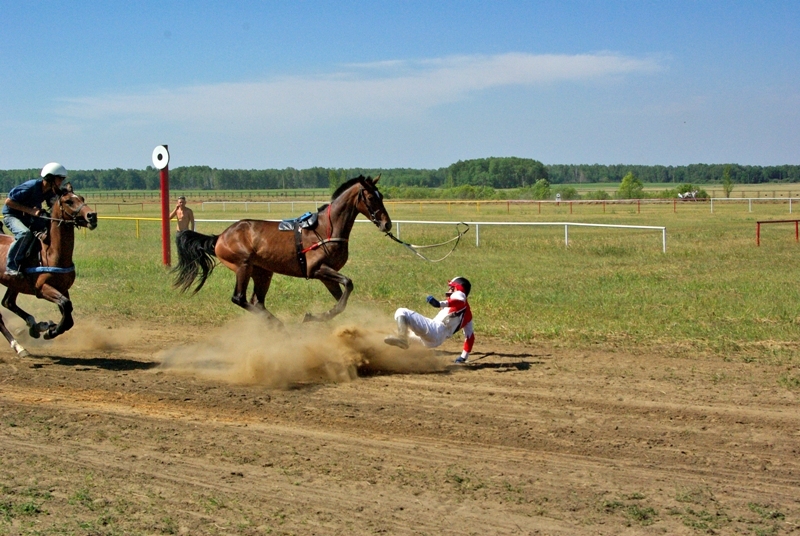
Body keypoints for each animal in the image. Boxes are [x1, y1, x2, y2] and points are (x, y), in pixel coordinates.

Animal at [0, 182, 98, 358]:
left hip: (14, 283)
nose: (92, 216)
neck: (52, 253)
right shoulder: (42, 288)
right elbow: (66, 305)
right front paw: (50, 331)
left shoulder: (62, 288)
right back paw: (19, 347)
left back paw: (33, 326)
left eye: (81, 198)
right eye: (69, 201)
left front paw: (48, 328)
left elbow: (68, 316)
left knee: (8, 302)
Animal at [173, 176, 392, 324]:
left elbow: (342, 300)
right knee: (239, 298)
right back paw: (278, 325)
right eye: (371, 197)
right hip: (243, 266)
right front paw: (312, 316)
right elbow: (348, 283)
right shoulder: (316, 270)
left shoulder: (327, 276)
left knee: (257, 302)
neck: (325, 229)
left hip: (263, 272)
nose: (387, 224)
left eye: (381, 195)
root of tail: (220, 237)